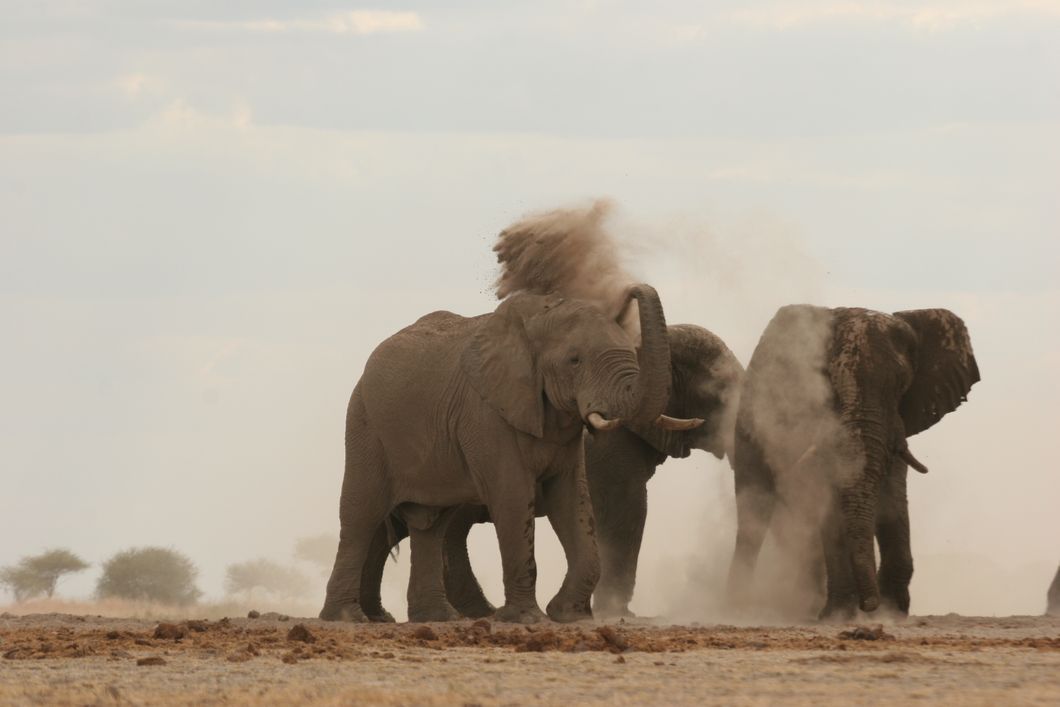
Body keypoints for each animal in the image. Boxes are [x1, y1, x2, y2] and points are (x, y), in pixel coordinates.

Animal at [319, 284, 702, 624]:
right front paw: (528, 619)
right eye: (575, 360)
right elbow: (513, 497)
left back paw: (440, 618)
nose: (629, 291)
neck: (540, 317)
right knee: (362, 515)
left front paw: (569, 616)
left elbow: (573, 500)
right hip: (365, 425)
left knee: (432, 522)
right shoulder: (486, 414)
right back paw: (349, 618)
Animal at [727, 305, 979, 620]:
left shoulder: (897, 422)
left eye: (901, 384)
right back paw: (740, 603)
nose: (868, 605)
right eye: (828, 385)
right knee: (754, 507)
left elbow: (894, 496)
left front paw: (892, 611)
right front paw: (839, 614)